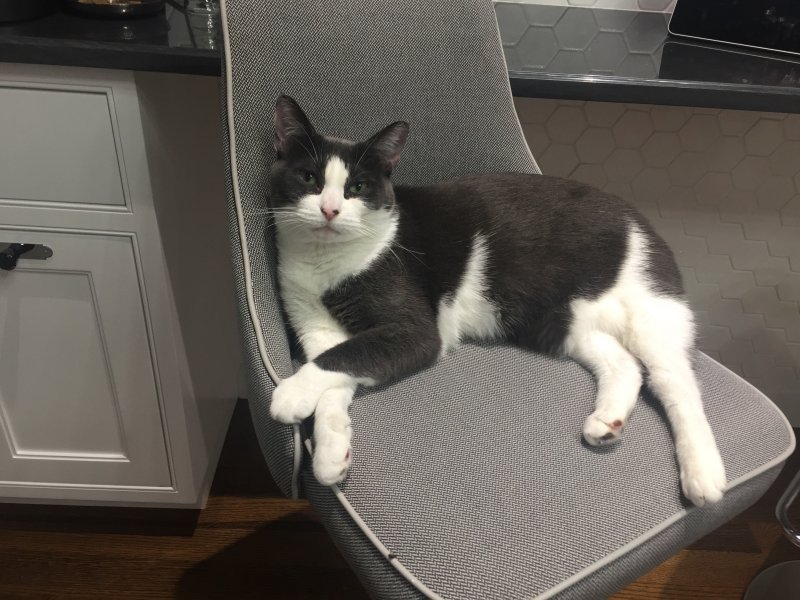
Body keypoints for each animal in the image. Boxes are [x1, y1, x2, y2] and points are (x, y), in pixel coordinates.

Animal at [267, 95, 726, 507]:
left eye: (357, 187)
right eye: (308, 178)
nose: (329, 210)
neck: (326, 264)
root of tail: (639, 216)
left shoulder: (415, 331)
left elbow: (346, 356)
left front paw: (289, 395)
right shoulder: (316, 327)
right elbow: (334, 368)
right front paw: (331, 452)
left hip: (646, 309)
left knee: (676, 382)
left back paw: (702, 471)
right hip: (565, 322)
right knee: (623, 363)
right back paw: (606, 422)